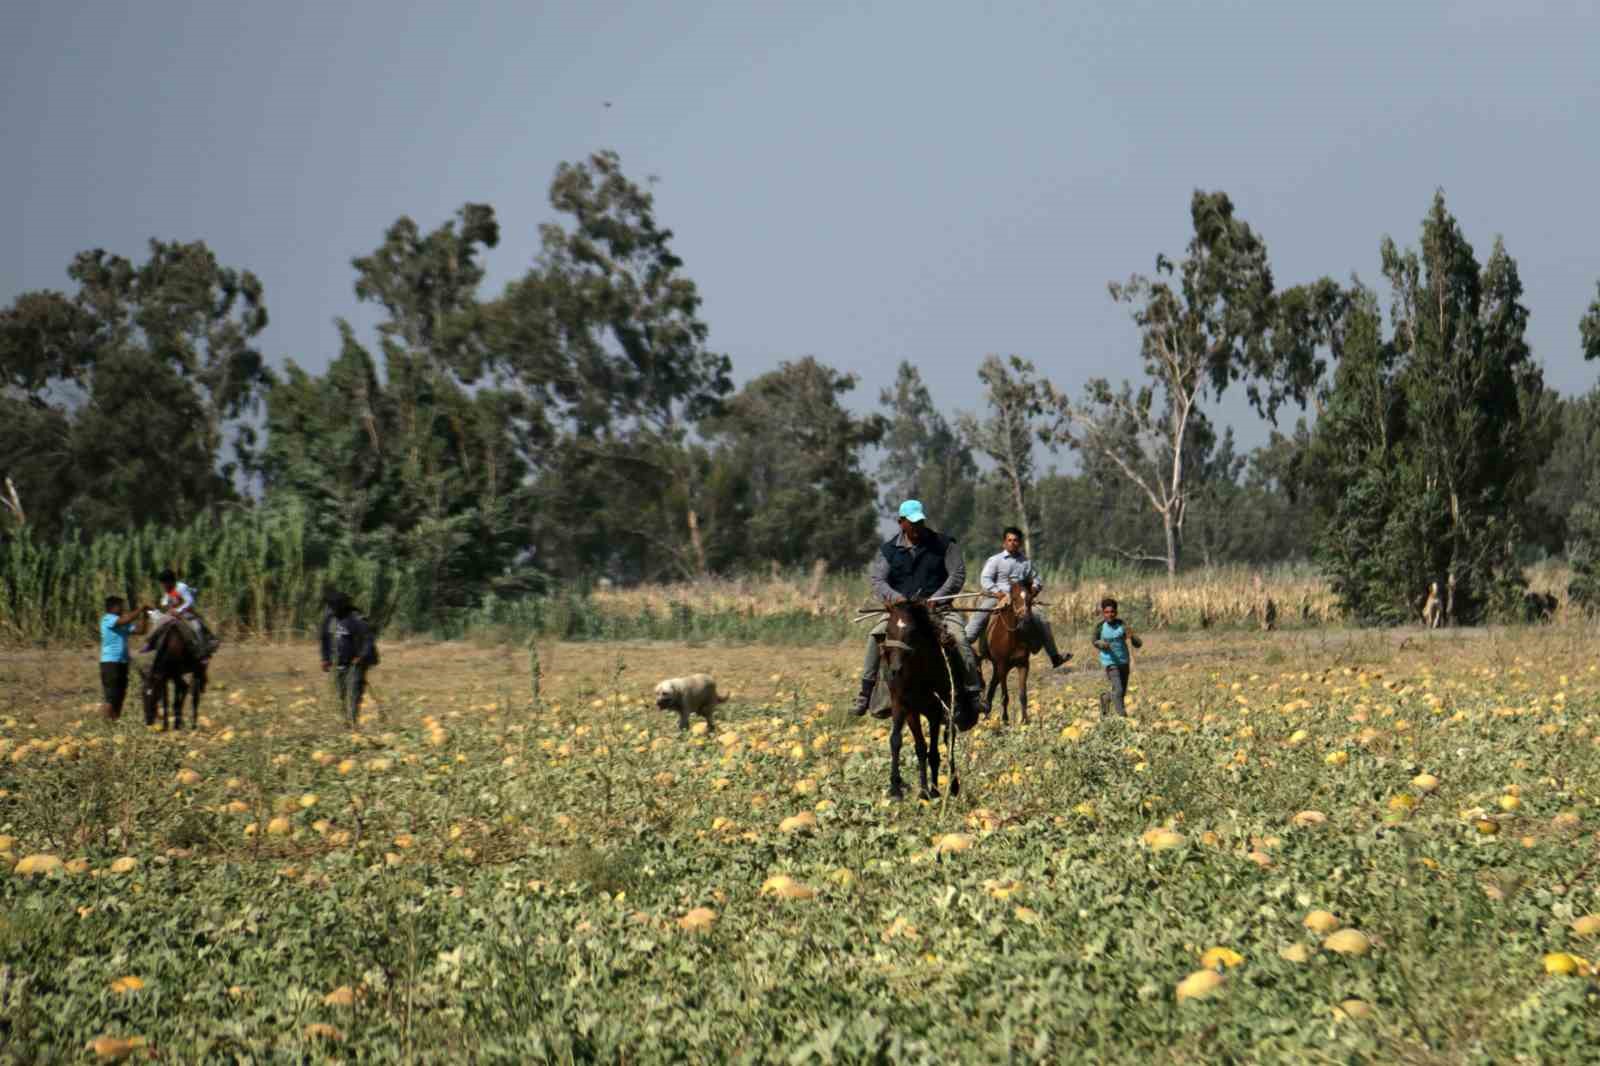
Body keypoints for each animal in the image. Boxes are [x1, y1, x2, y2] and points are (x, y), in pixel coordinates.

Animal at [876, 598, 972, 797]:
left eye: (912, 632)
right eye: (888, 631)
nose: (895, 671)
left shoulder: (935, 710)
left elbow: (934, 751)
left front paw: (933, 791)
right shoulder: (904, 706)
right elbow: (905, 743)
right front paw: (899, 789)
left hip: (949, 709)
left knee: (949, 740)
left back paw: (952, 786)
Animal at [979, 582, 1043, 723]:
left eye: (1030, 598)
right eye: (1014, 599)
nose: (1025, 619)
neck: (1011, 637)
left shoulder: (1023, 664)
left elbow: (1023, 695)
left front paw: (1025, 720)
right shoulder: (1002, 665)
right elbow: (1004, 695)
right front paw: (1005, 719)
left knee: (992, 685)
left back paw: (987, 713)